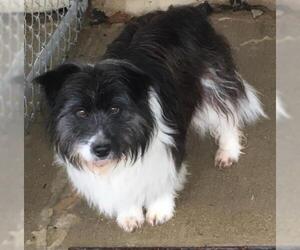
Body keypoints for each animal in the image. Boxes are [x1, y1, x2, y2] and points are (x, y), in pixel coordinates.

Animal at [35, 2, 264, 232]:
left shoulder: (168, 141)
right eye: (81, 113)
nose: (100, 150)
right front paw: (129, 214)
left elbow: (161, 177)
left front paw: (160, 209)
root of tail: (186, 9)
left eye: (115, 109)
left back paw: (228, 151)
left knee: (227, 115)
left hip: (212, 82)